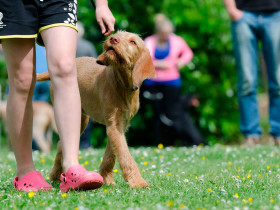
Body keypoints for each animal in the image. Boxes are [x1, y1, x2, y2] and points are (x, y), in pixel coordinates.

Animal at [36, 31, 155, 189]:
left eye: (133, 42)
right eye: (118, 34)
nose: (113, 38)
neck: (122, 85)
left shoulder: (118, 126)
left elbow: (111, 154)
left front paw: (107, 178)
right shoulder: (114, 125)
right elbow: (125, 155)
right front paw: (138, 181)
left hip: (81, 119)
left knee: (61, 143)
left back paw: (56, 176)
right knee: (61, 143)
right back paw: (56, 175)